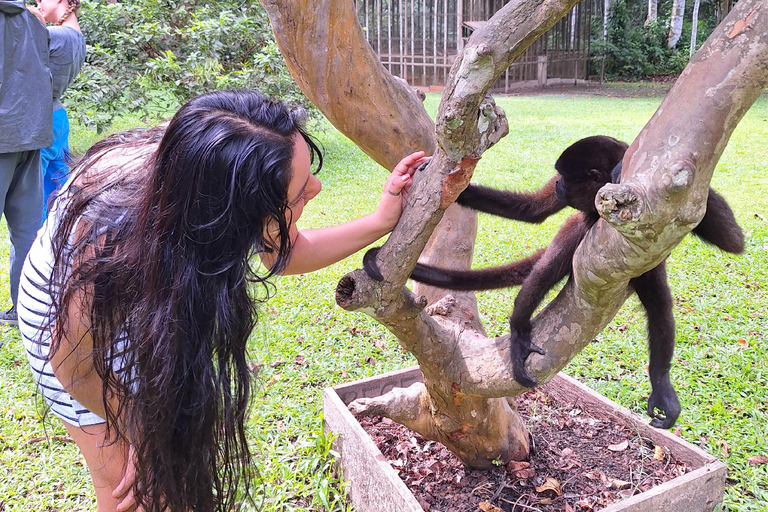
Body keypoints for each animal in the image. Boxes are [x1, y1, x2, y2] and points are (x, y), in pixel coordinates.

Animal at [366, 136, 744, 428]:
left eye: (564, 175)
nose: (559, 183)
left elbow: (732, 241)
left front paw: (619, 169)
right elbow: (532, 209)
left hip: (644, 263)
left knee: (658, 305)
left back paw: (661, 383)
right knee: (552, 263)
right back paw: (519, 330)